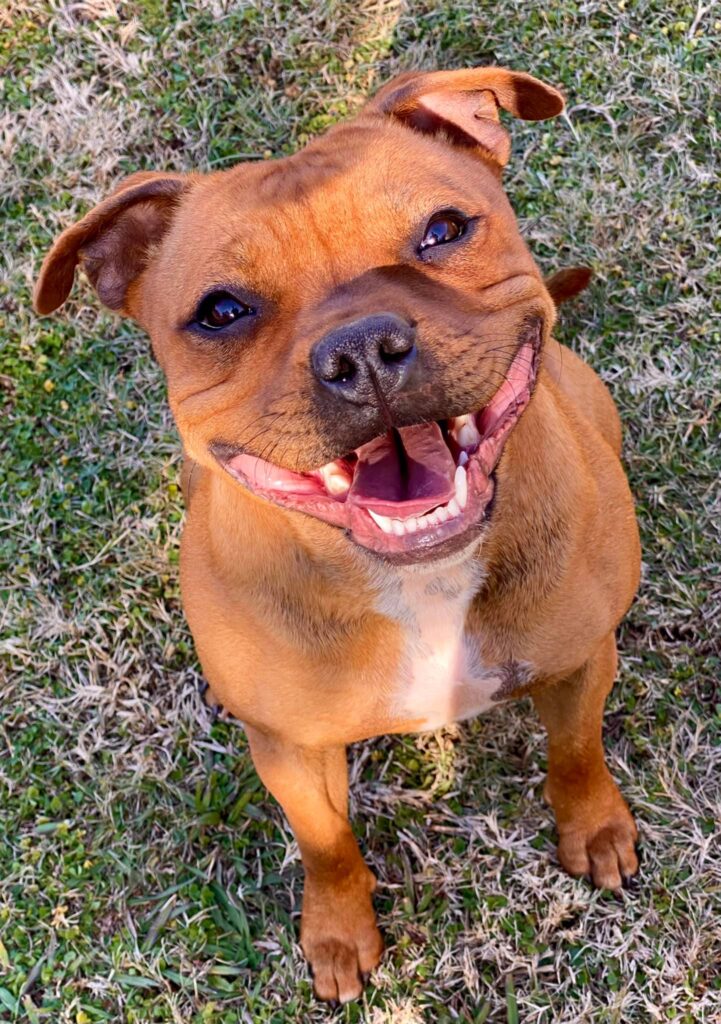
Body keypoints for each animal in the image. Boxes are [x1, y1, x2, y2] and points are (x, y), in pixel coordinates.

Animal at [35, 68, 643, 1003]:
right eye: (220, 311)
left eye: (443, 229)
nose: (360, 348)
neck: (422, 582)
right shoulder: (288, 748)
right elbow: (324, 841)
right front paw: (336, 930)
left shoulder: (580, 658)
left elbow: (575, 751)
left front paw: (596, 828)